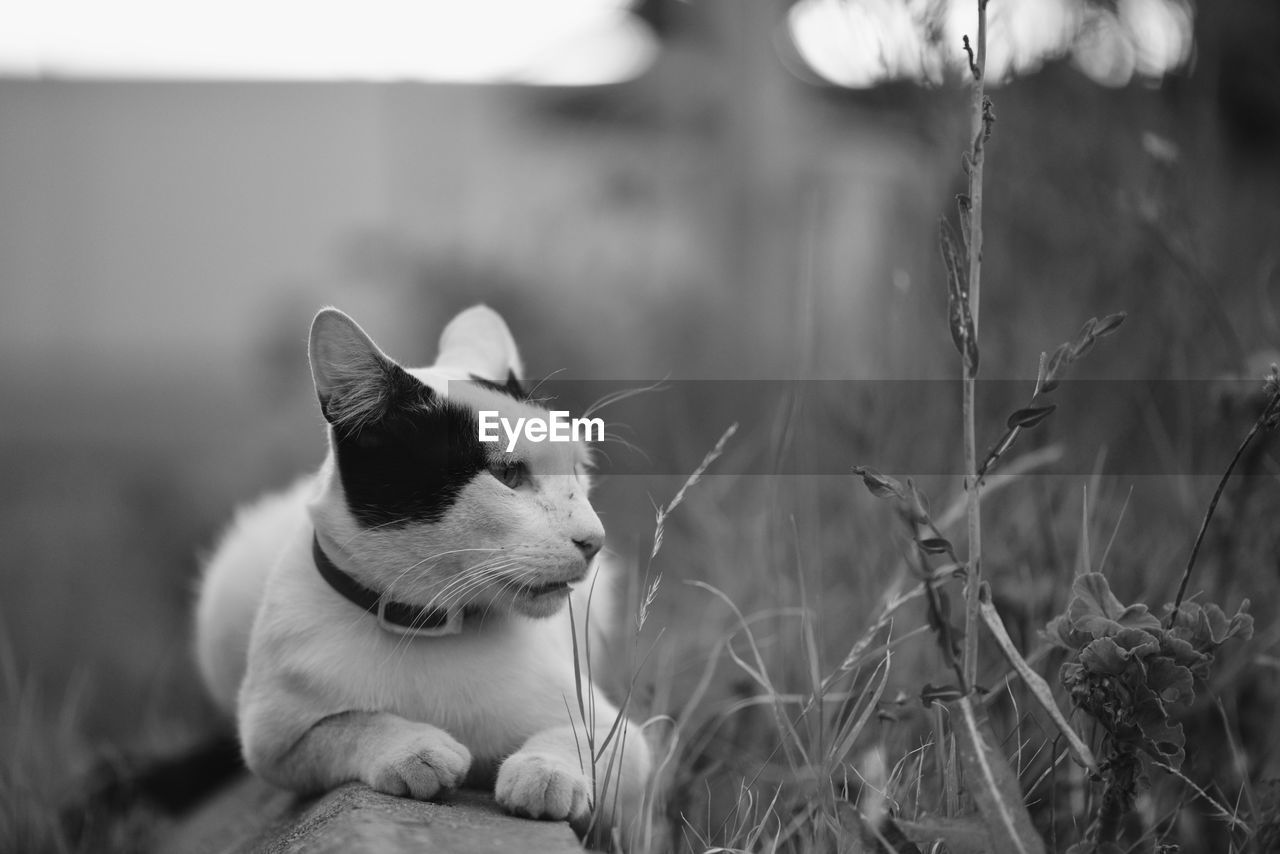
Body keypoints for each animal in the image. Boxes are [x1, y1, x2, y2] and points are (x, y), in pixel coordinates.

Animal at [192, 307, 650, 839]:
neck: (426, 624)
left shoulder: (624, 737)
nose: (594, 540)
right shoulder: (270, 743)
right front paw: (414, 750)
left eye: (579, 469)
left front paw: (545, 773)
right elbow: (345, 725)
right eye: (508, 475)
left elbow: (579, 738)